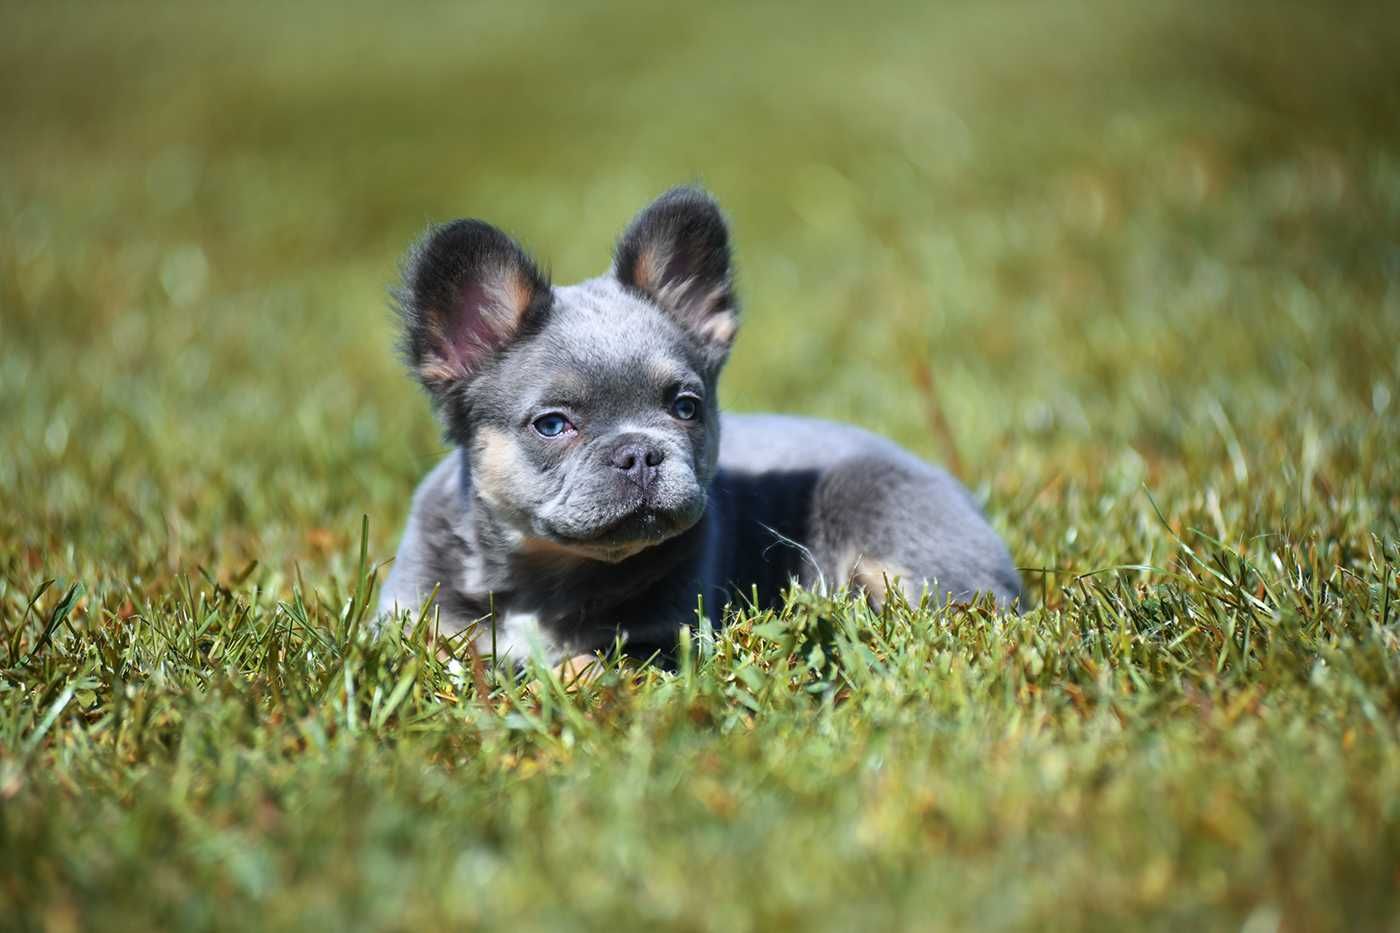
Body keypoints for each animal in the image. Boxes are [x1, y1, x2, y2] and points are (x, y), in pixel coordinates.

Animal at [378, 184, 1024, 661]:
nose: (640, 452)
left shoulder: (657, 642)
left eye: (685, 407)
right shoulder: (417, 624)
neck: (548, 571)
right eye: (553, 426)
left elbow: (587, 664)